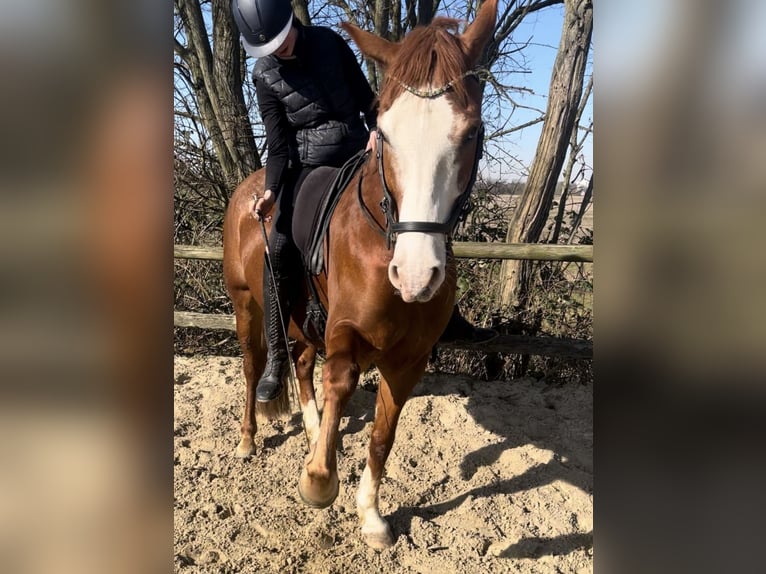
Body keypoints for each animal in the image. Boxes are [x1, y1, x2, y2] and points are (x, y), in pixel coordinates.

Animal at [223, 0, 497, 549]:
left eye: (470, 132)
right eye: (385, 135)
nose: (415, 276)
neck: (383, 233)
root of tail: (250, 189)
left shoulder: (409, 360)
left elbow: (382, 436)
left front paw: (370, 514)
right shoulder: (345, 331)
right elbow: (341, 378)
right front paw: (318, 480)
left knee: (302, 364)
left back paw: (311, 431)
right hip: (247, 304)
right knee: (255, 367)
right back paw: (248, 438)